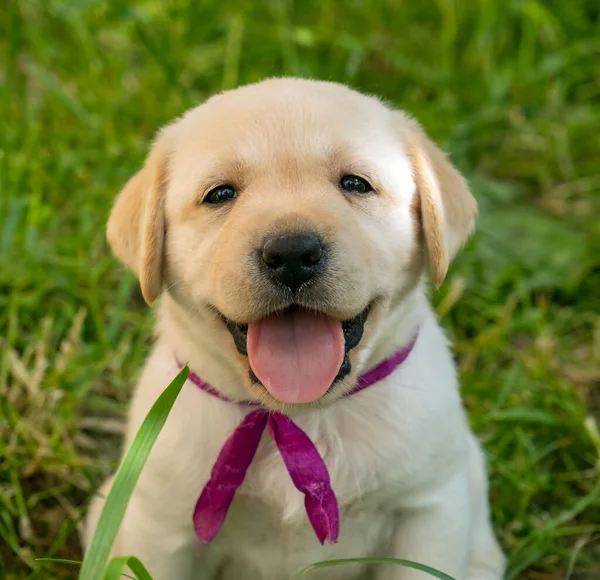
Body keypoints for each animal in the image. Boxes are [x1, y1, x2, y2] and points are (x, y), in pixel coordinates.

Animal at [83, 78, 506, 580]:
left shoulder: (428, 510)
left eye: (355, 184)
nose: (291, 253)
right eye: (220, 194)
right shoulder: (157, 524)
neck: (298, 414)